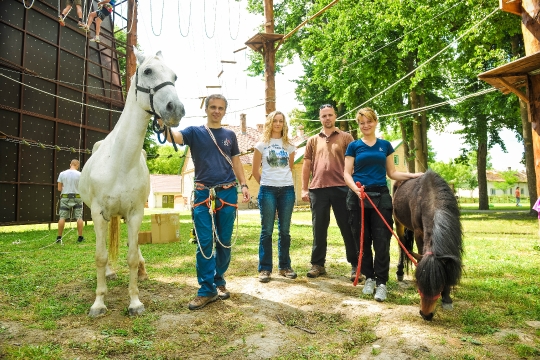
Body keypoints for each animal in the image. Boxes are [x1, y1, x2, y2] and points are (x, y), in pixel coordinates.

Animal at [79, 49, 186, 316]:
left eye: (174, 76)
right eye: (147, 71)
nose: (176, 109)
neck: (120, 161)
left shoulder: (136, 213)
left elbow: (131, 257)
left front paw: (135, 302)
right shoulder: (98, 214)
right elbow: (100, 256)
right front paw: (99, 303)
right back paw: (108, 274)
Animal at [392, 169, 464, 320]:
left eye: (439, 284)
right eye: (420, 284)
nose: (426, 314)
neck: (432, 199)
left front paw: (447, 298)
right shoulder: (419, 233)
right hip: (398, 222)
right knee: (402, 245)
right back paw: (400, 272)